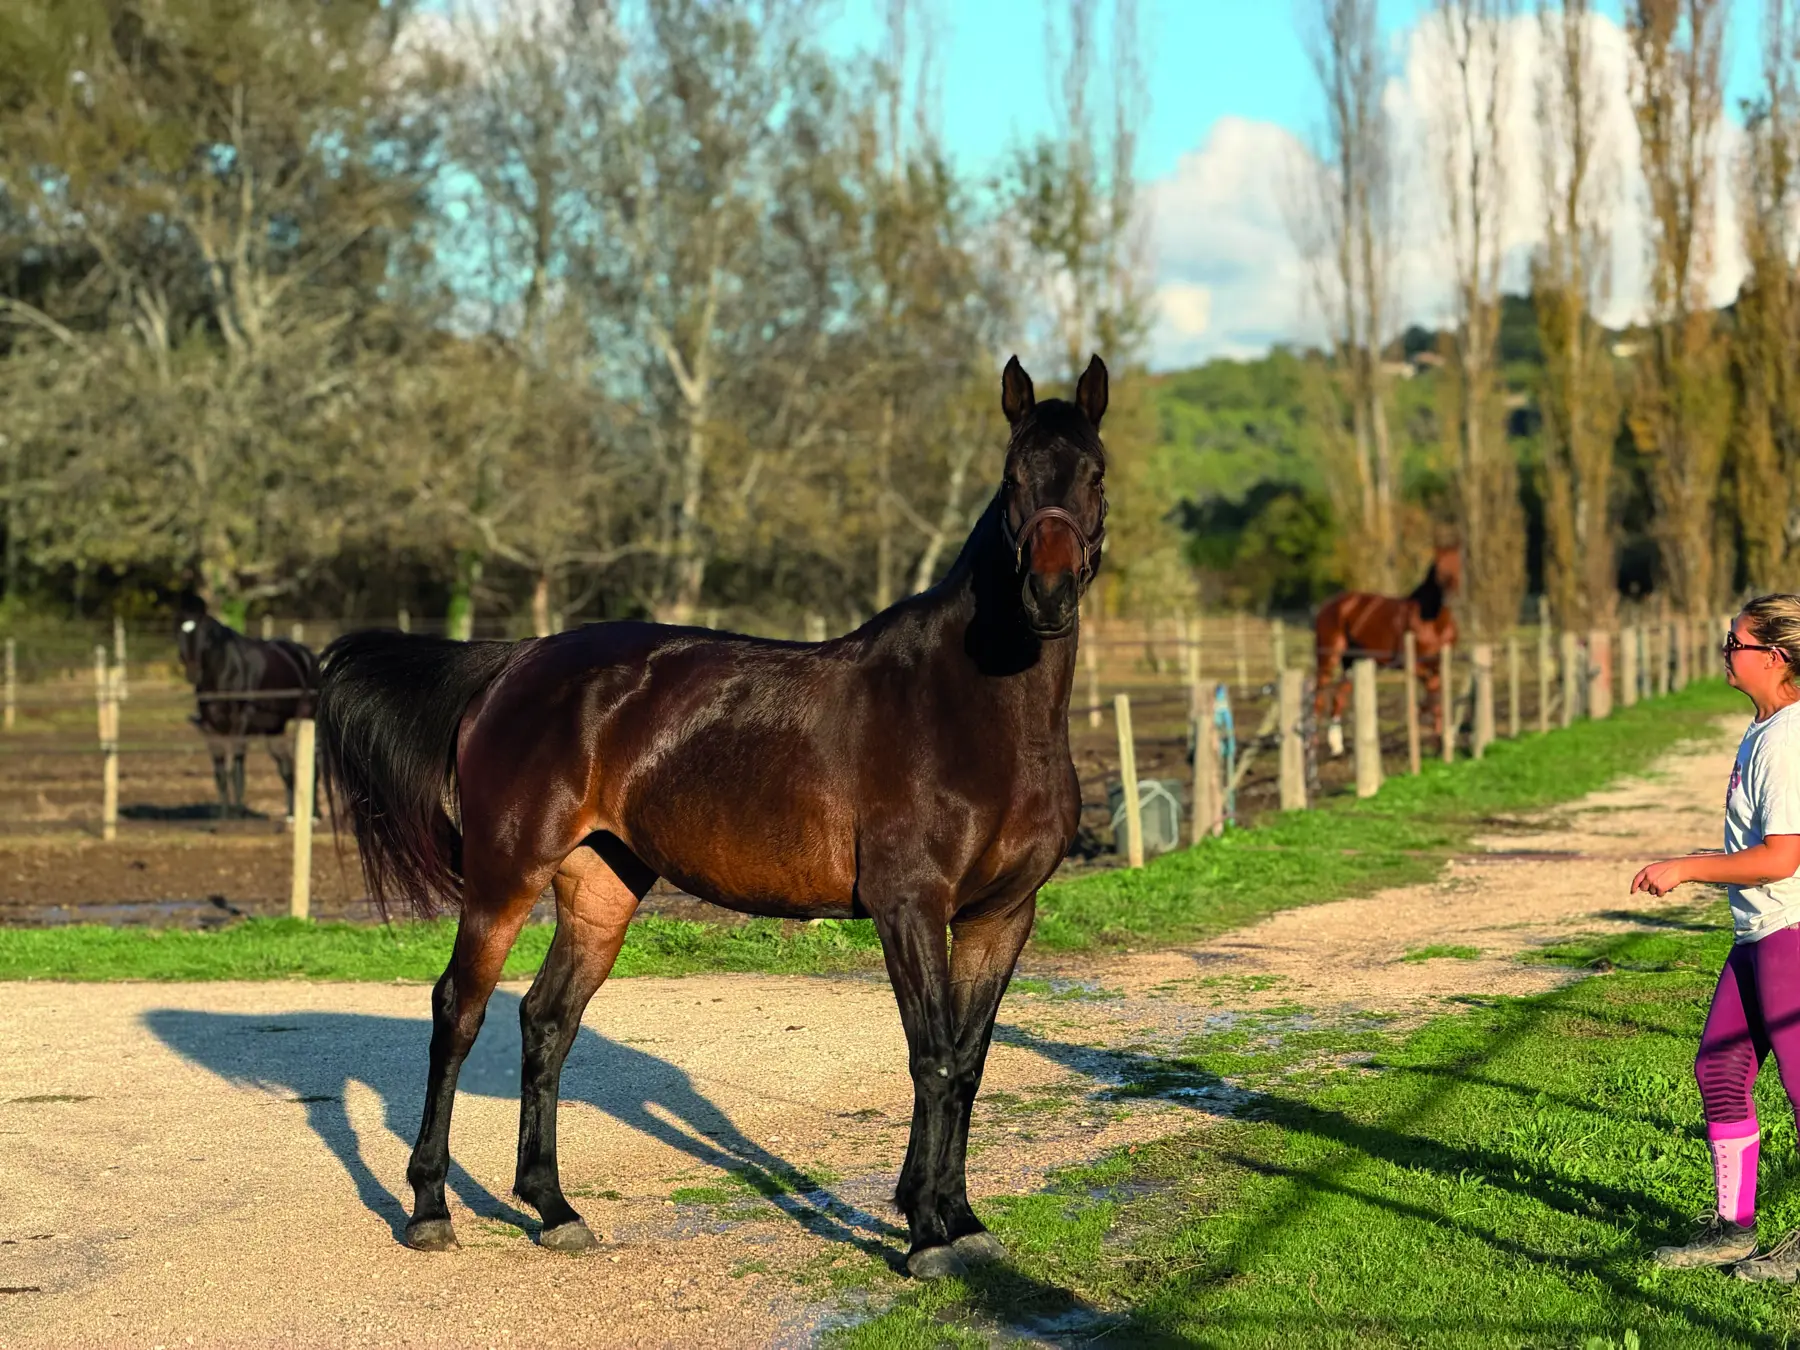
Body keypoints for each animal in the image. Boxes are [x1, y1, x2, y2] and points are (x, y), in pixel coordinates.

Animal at [175, 601, 320, 819]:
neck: (226, 672)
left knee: (315, 764)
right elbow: (220, 772)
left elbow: (237, 768)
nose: (193, 673)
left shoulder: (241, 725)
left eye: (205, 635)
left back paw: (315, 814)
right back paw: (291, 813)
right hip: (274, 730)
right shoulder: (210, 729)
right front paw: (224, 815)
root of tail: (307, 656)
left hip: (308, 720)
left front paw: (239, 812)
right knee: (286, 767)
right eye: (180, 634)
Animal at [315, 354, 1109, 1280]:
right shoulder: (910, 907)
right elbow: (935, 1058)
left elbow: (972, 1062)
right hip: (504, 877)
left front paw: (960, 1218)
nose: (1048, 595)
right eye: (1013, 477)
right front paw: (923, 1233)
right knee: (458, 1012)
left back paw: (554, 1209)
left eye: (1095, 473)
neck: (970, 707)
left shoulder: (1002, 915)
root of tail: (515, 661)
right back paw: (431, 1208)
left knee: (546, 1021)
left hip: (602, 888)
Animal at [1311, 544, 1461, 754]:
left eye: (1459, 565)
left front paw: (1445, 740)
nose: (1451, 599)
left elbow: (1436, 698)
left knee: (1338, 698)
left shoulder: (1439, 665)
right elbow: (1432, 699)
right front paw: (1439, 739)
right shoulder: (1415, 665)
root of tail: (1328, 606)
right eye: (1438, 569)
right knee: (1319, 696)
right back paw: (1313, 746)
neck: (1433, 623)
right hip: (1329, 657)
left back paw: (1337, 746)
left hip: (1354, 662)